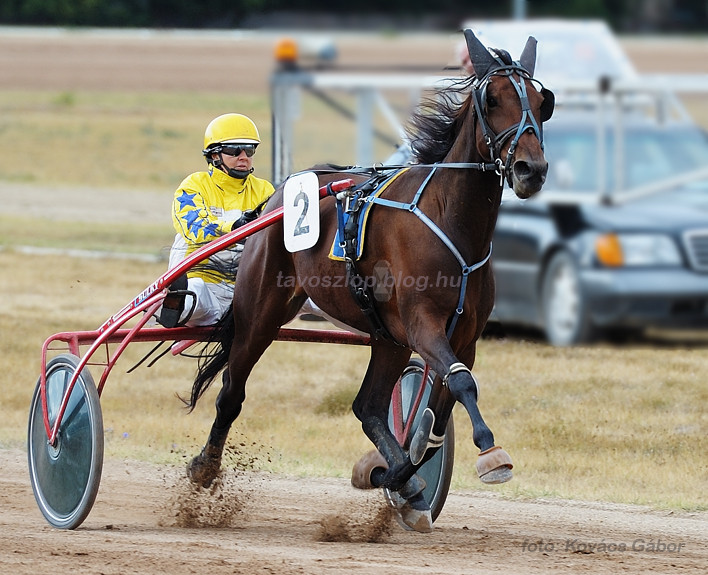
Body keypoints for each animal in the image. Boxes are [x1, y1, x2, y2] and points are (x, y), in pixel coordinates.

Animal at [185, 31, 556, 532]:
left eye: (541, 101)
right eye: (492, 98)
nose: (530, 170)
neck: (451, 221)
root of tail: (277, 196)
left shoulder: (463, 336)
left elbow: (436, 418)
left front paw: (392, 475)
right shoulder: (424, 325)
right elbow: (462, 385)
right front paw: (490, 453)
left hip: (387, 337)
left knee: (369, 406)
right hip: (261, 313)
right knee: (231, 392)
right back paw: (204, 467)